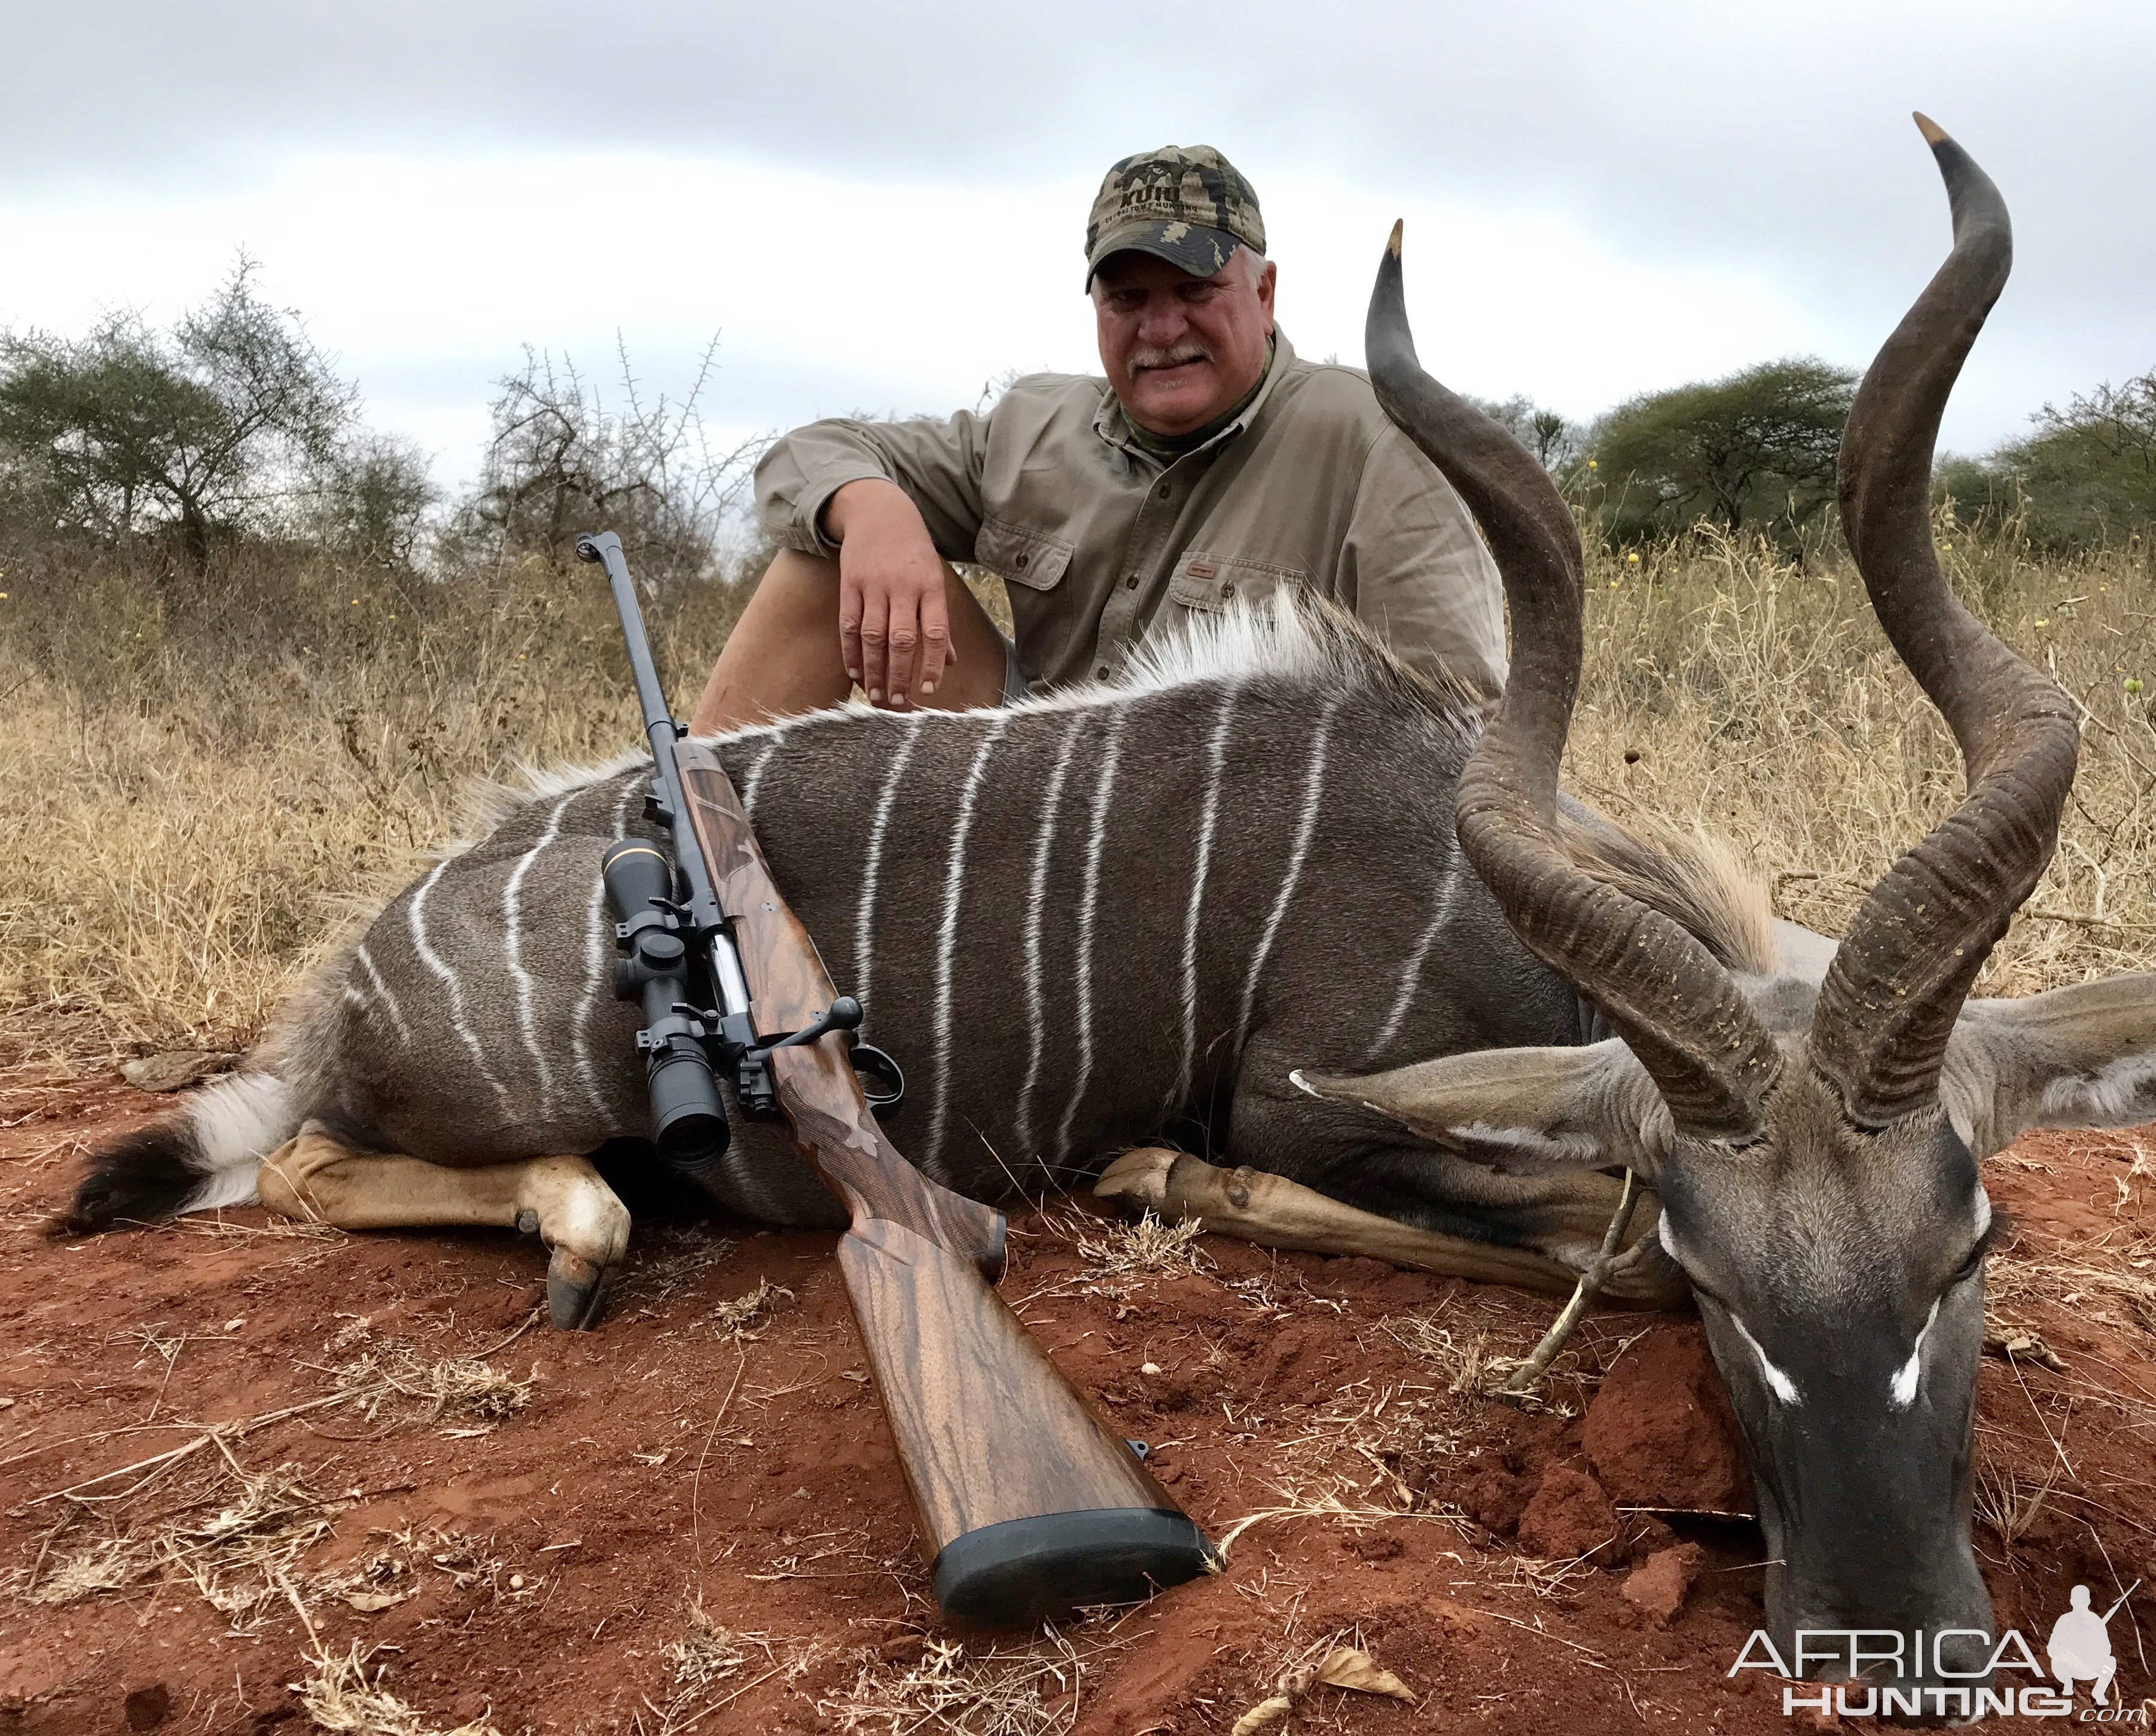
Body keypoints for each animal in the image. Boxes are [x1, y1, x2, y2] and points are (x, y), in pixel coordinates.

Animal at [67, 118, 2156, 1665]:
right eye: (1727, 1282)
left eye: (1965, 1243)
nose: (1887, 1631)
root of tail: (354, 968)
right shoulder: (1326, 1097)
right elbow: (1563, 1226)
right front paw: (1162, 1169)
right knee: (316, 1158)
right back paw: (577, 1225)